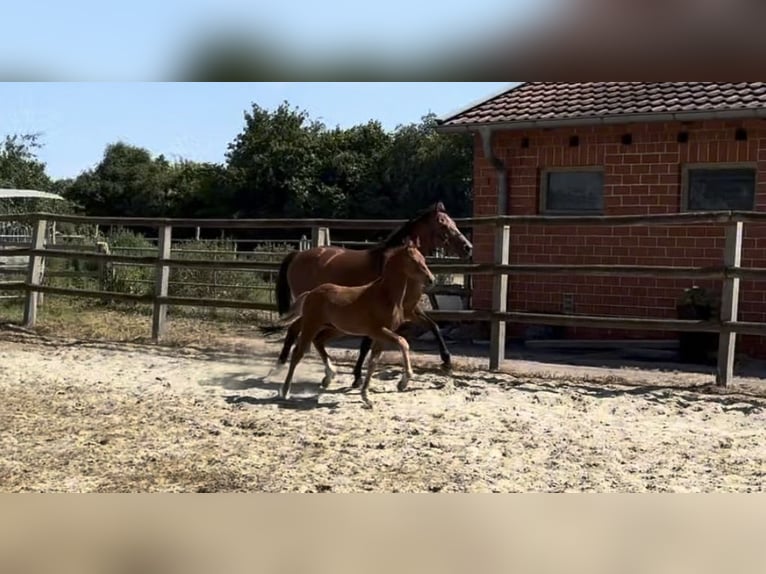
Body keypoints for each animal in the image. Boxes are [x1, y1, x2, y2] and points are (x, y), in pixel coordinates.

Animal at [261, 201, 472, 387]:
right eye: (443, 223)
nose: (468, 247)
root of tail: (297, 255)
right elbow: (365, 345)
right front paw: (356, 377)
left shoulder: (410, 310)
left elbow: (434, 326)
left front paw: (447, 362)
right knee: (295, 330)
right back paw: (280, 368)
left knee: (298, 330)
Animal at [275, 238, 436, 408]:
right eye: (413, 260)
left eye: (423, 259)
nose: (431, 279)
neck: (385, 295)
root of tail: (311, 293)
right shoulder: (377, 330)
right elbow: (403, 342)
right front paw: (404, 381)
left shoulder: (381, 335)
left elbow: (373, 363)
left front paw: (366, 396)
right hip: (311, 325)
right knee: (297, 353)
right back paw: (285, 391)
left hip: (334, 328)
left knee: (317, 341)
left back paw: (328, 374)